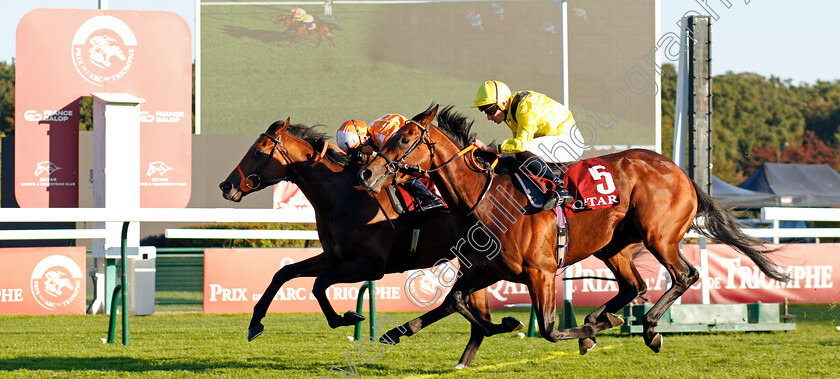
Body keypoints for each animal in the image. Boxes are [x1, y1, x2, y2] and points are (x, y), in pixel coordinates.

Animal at [218, 118, 520, 368]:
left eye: (259, 152)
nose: (226, 186)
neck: (344, 196)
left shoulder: (370, 266)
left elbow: (318, 284)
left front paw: (347, 317)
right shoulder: (334, 257)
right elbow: (284, 272)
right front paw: (255, 323)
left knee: (460, 303)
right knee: (463, 303)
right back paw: (461, 353)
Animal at [358, 105, 792, 354]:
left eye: (406, 137)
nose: (368, 172)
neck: (486, 197)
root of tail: (680, 172)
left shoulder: (541, 271)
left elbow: (550, 329)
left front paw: (585, 329)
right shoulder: (488, 269)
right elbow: (457, 301)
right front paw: (398, 331)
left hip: (660, 236)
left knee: (685, 274)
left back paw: (648, 328)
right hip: (612, 246)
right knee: (633, 286)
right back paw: (604, 321)